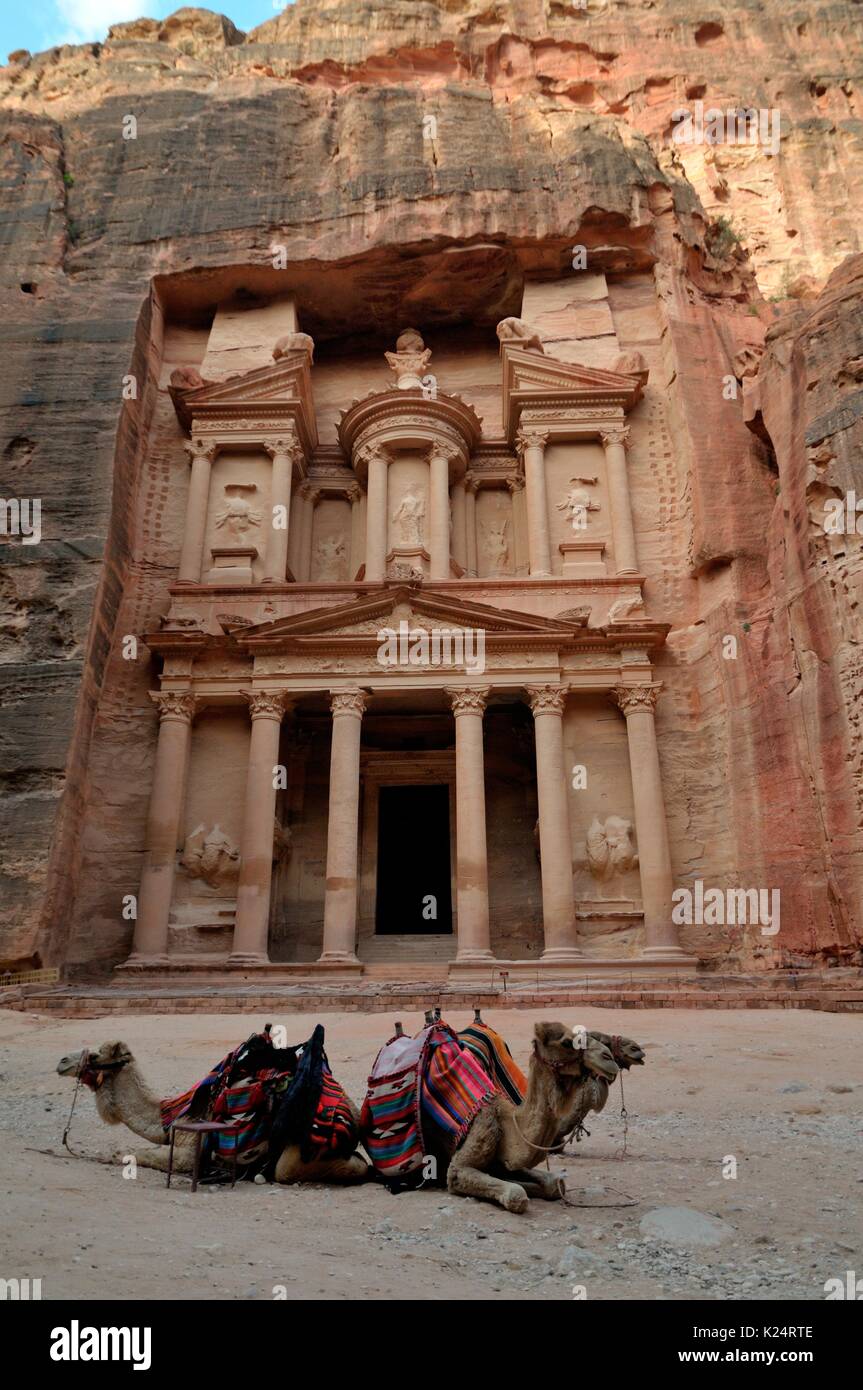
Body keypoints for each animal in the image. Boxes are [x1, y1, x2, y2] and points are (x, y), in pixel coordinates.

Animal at [56, 1045, 366, 1184]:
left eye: (94, 1056)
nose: (61, 1061)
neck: (171, 1116)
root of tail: (353, 1113)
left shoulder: (189, 1147)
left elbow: (134, 1153)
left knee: (288, 1169)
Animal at [444, 1023, 619, 1217]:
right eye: (566, 1042)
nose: (609, 1058)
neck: (506, 1121)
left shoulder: (505, 1162)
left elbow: (556, 1184)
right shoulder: (460, 1165)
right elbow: (516, 1194)